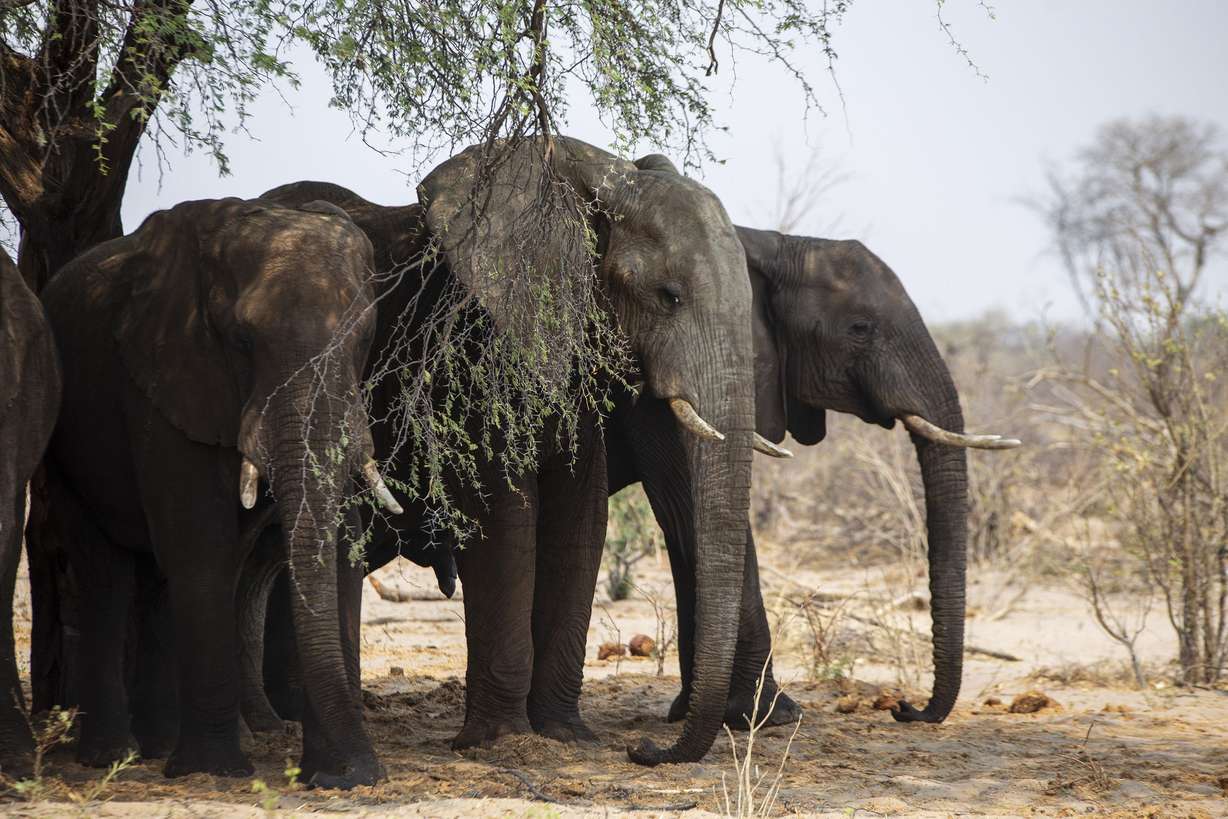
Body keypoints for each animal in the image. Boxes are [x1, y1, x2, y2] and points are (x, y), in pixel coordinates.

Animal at [36, 196, 400, 787]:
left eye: (365, 338)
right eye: (243, 341)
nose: (361, 774)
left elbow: (341, 544)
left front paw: (339, 773)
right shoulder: (170, 373)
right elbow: (201, 544)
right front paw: (217, 770)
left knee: (161, 579)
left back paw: (161, 744)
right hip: (66, 443)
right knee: (106, 574)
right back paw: (115, 756)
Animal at [250, 134, 760, 766]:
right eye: (668, 296)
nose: (644, 748)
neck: (596, 177)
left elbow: (580, 519)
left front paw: (566, 735)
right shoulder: (476, 344)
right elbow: (506, 515)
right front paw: (502, 742)